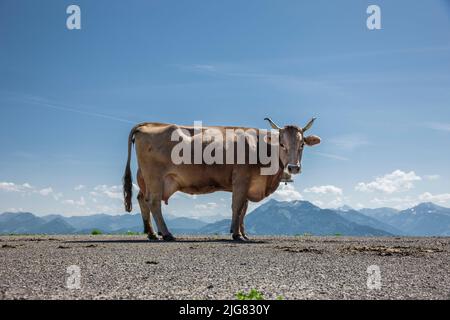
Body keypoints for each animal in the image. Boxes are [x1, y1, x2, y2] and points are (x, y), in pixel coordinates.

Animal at [123, 119, 320, 241]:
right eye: (282, 144)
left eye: (302, 144)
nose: (293, 167)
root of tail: (148, 125)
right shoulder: (241, 179)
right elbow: (237, 206)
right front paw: (236, 234)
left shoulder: (248, 184)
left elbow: (243, 210)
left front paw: (243, 233)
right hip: (154, 178)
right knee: (153, 202)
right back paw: (166, 234)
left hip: (149, 180)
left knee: (143, 200)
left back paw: (152, 234)